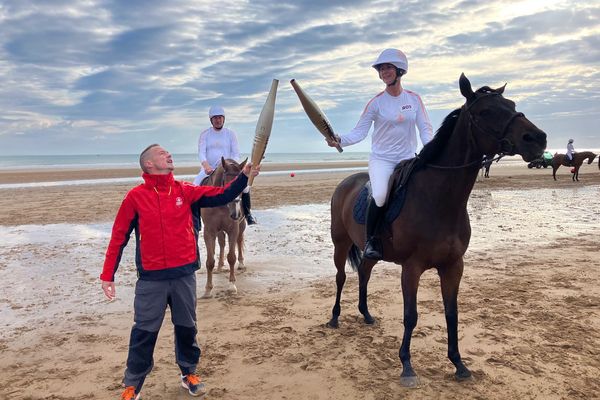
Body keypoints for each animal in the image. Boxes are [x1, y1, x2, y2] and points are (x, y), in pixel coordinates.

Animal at [199, 156, 246, 296]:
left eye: (241, 186)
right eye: (228, 185)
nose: (236, 213)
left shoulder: (233, 229)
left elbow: (231, 257)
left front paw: (232, 285)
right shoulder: (209, 231)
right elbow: (210, 261)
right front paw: (208, 289)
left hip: (241, 226)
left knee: (239, 241)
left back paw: (241, 263)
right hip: (219, 231)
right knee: (221, 243)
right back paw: (220, 266)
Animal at [328, 74, 548, 388]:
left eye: (512, 104)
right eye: (486, 112)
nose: (537, 139)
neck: (439, 199)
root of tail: (345, 183)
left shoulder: (453, 266)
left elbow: (452, 313)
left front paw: (458, 364)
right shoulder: (412, 268)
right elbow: (411, 316)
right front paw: (407, 366)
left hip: (370, 252)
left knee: (364, 275)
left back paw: (366, 314)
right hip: (340, 243)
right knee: (341, 277)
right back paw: (334, 318)